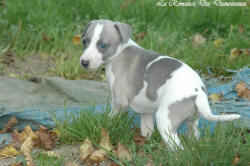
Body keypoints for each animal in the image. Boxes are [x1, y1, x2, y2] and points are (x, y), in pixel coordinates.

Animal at [79, 19, 240, 149]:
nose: (84, 62)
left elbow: (111, 118)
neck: (120, 51)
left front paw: (104, 127)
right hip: (192, 121)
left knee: (177, 148)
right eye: (84, 41)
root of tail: (198, 91)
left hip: (165, 119)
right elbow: (147, 128)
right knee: (194, 136)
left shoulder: (119, 102)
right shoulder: (146, 111)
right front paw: (145, 141)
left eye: (103, 45)